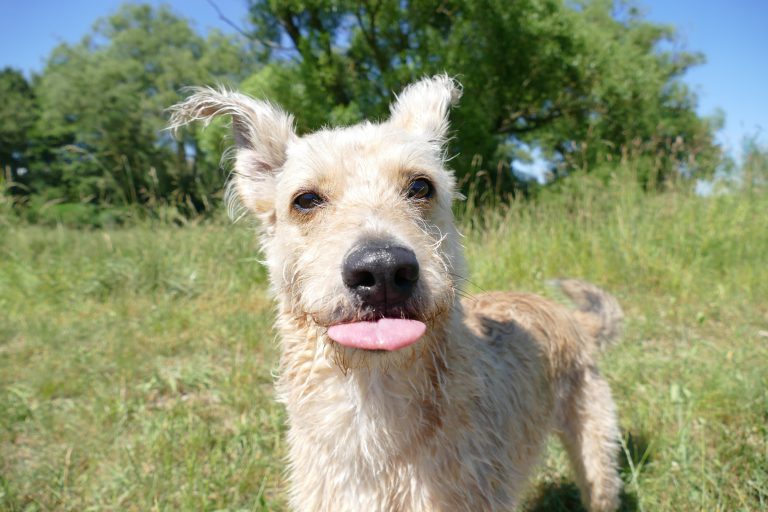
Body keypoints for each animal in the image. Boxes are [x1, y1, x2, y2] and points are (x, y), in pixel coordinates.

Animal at [170, 74, 624, 510]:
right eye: (306, 199)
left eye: (421, 187)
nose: (383, 269)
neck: (373, 404)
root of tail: (568, 316)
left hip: (595, 452)